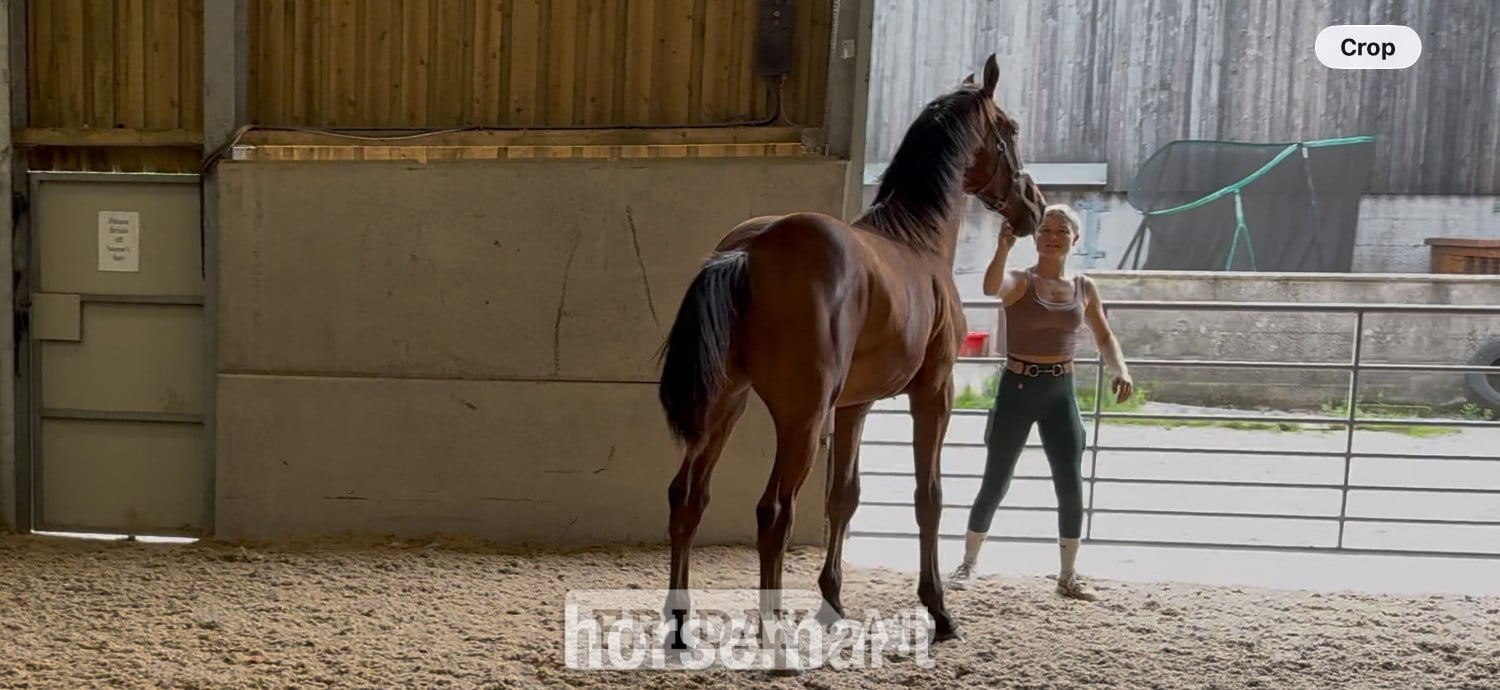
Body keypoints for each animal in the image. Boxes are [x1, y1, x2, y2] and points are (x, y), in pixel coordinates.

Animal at [655, 53, 1045, 651]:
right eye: (1012, 130)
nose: (1035, 207)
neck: (916, 239)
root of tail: (747, 252)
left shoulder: (854, 406)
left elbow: (845, 496)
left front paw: (832, 602)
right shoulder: (935, 391)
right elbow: (928, 497)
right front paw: (939, 610)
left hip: (727, 407)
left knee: (687, 499)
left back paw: (679, 627)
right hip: (799, 418)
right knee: (774, 513)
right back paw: (774, 637)